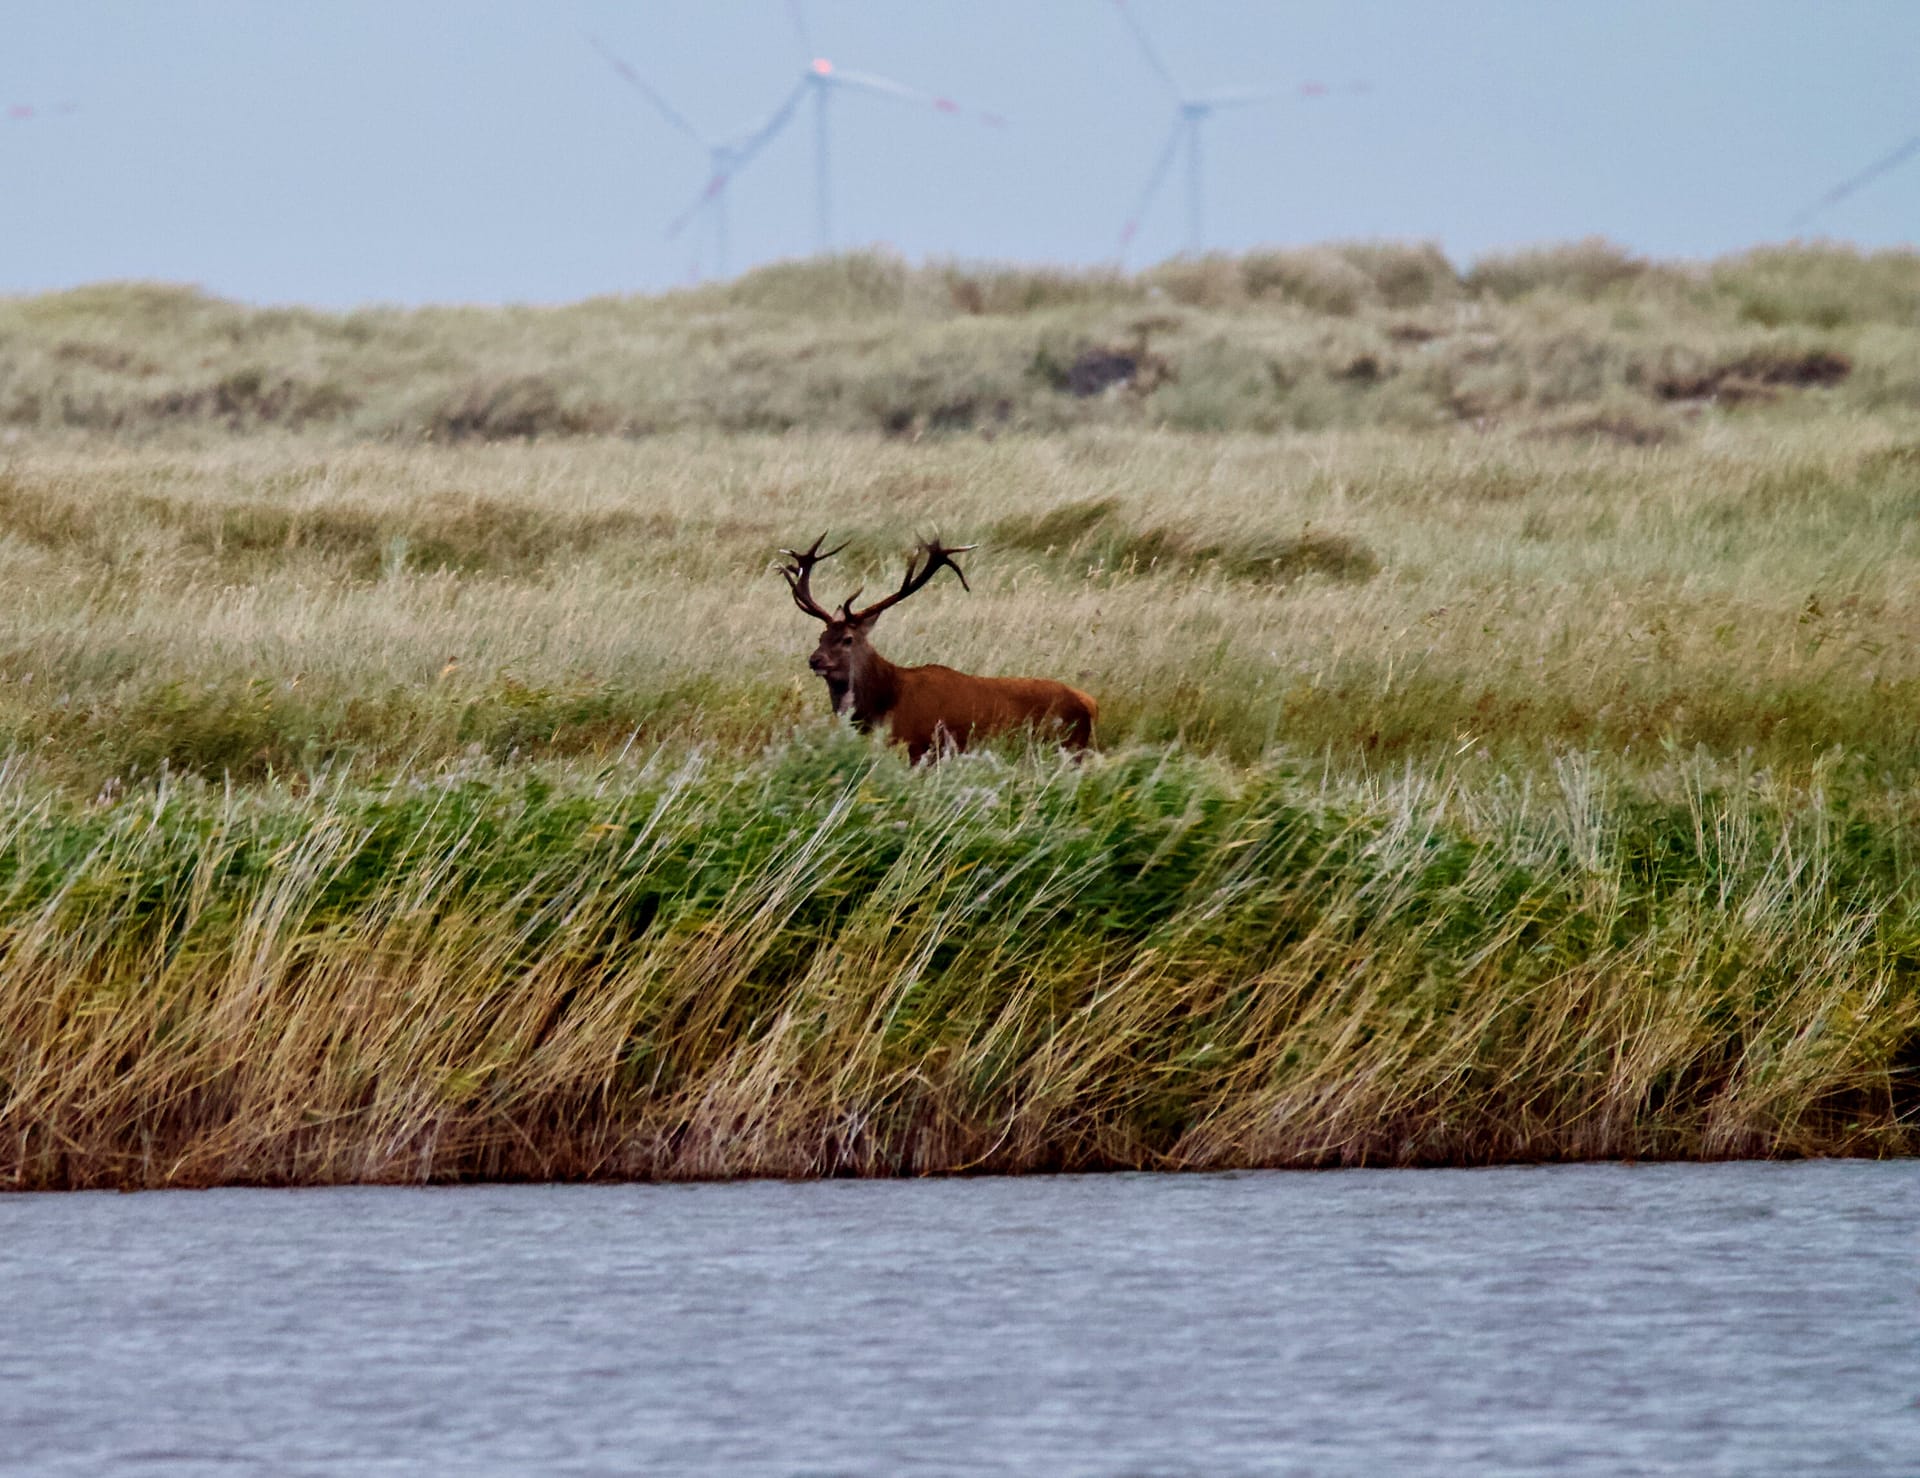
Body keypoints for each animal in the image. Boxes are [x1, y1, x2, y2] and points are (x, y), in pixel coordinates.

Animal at [778, 534, 1098, 764]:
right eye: (821, 636)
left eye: (847, 639)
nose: (815, 660)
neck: (881, 705)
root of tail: (1090, 703)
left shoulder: (919, 747)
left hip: (1067, 747)